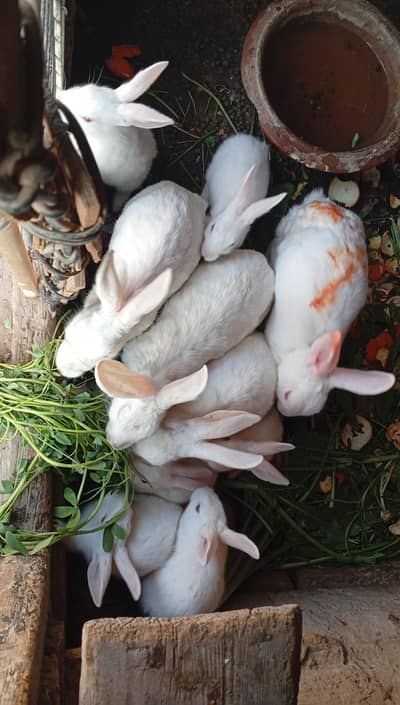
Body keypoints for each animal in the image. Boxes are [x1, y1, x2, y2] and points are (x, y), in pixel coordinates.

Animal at [57, 61, 174, 211]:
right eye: (88, 87)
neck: (100, 133)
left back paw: (117, 206)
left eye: (87, 119)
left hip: (128, 184)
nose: (59, 96)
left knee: (123, 193)